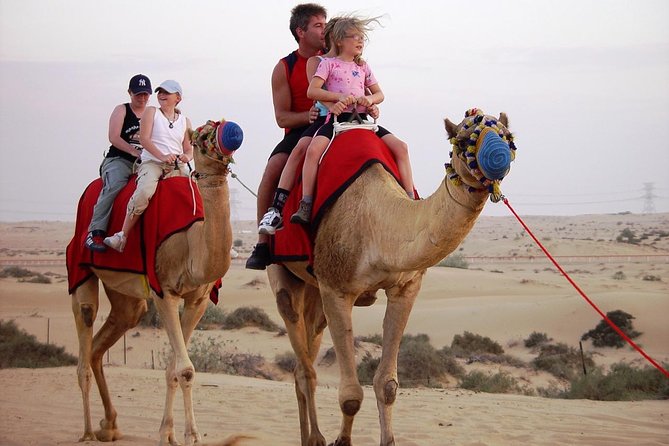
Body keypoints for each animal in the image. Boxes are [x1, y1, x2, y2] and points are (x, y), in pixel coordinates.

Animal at [70, 120, 240, 445]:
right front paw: (191, 435)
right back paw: (86, 432)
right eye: (201, 134)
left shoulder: (198, 299)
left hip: (126, 295)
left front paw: (170, 433)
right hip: (80, 268)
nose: (233, 133)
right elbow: (184, 369)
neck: (191, 241)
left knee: (104, 341)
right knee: (84, 337)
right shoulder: (165, 292)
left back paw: (109, 425)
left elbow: (174, 368)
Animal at [268, 109, 516, 446]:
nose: (498, 157)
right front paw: (340, 440)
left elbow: (387, 385)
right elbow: (350, 396)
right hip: (283, 274)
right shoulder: (336, 288)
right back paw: (315, 438)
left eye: (507, 135)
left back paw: (308, 436)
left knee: (302, 360)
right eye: (464, 139)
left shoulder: (405, 287)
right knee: (305, 365)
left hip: (313, 290)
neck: (378, 224)